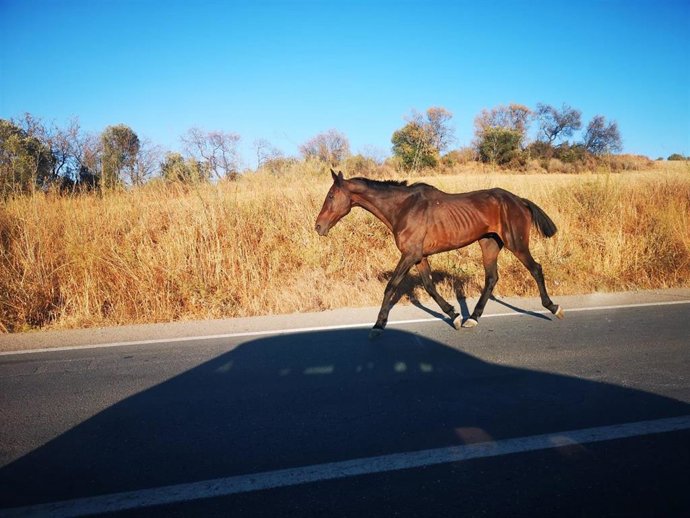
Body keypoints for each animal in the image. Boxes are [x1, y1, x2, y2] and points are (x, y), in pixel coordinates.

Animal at [315, 170, 564, 339]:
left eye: (330, 196)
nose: (318, 226)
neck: (403, 208)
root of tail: (519, 200)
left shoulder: (409, 255)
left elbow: (391, 286)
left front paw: (378, 326)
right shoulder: (419, 257)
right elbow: (429, 286)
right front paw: (454, 315)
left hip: (516, 244)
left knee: (536, 269)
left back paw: (554, 307)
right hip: (489, 244)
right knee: (492, 278)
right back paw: (472, 318)